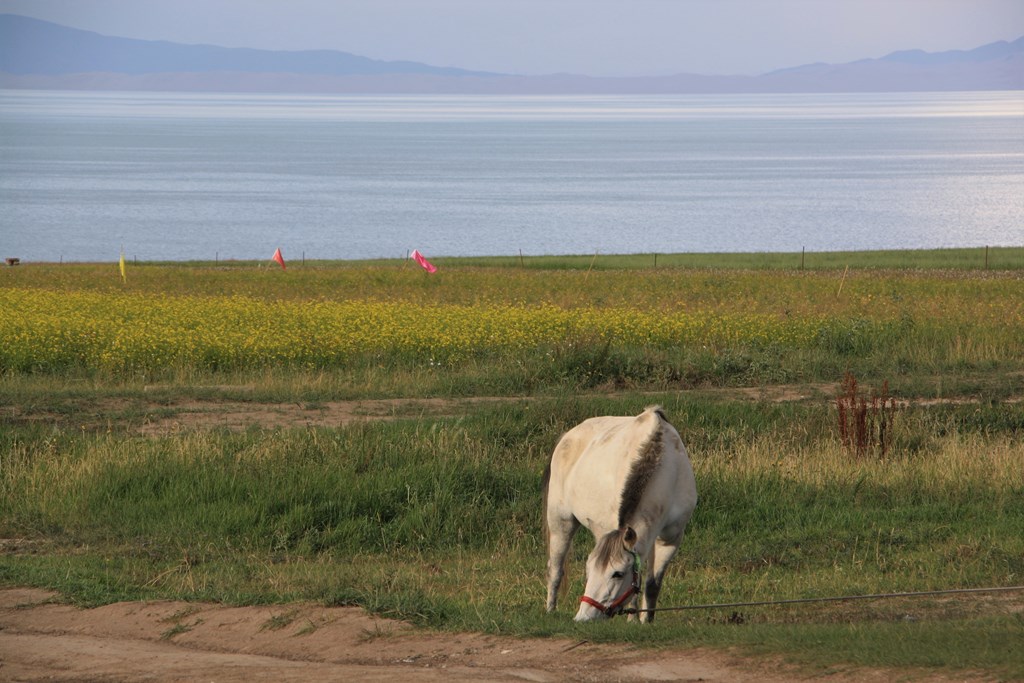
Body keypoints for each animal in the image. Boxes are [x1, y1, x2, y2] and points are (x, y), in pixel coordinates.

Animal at [540, 409, 700, 622]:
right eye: (589, 570)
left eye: (617, 573)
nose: (583, 617)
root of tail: (567, 436)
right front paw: (633, 620)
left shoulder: (669, 539)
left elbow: (652, 586)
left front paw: (646, 621)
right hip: (561, 522)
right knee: (555, 570)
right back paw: (550, 610)